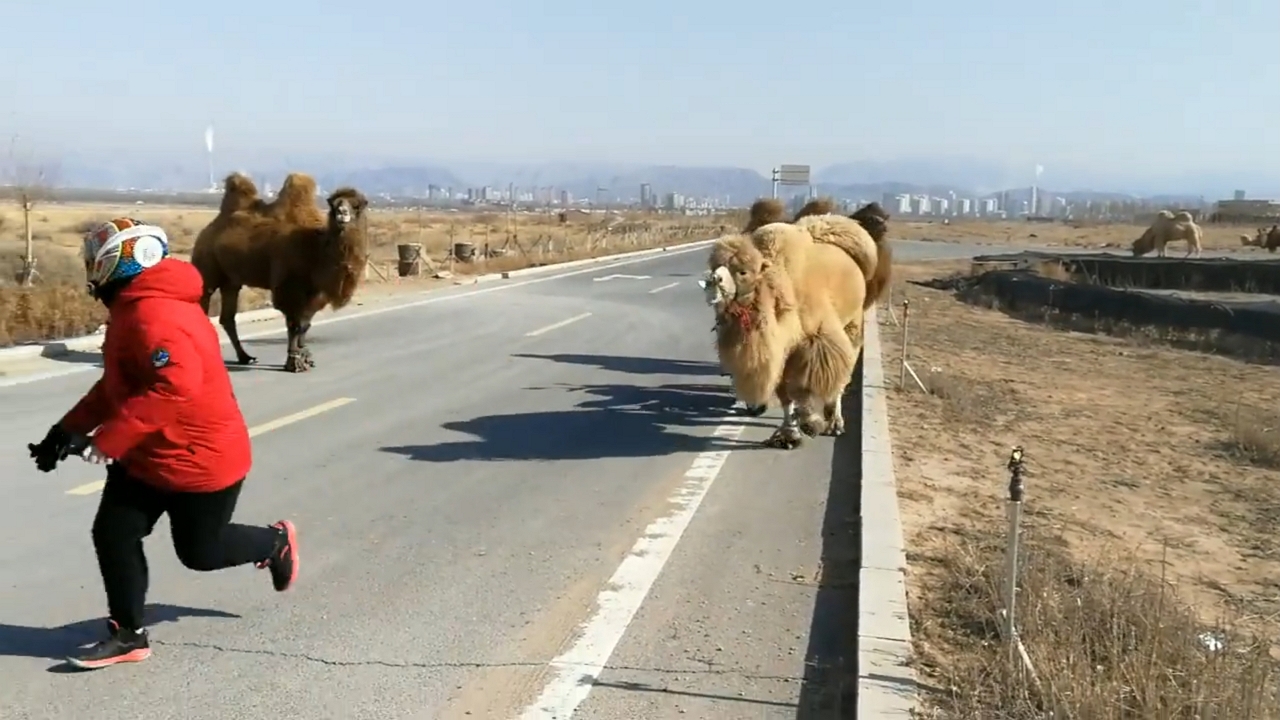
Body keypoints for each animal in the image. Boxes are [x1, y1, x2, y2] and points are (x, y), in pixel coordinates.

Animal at [190, 172, 368, 373]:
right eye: (335, 204)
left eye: (357, 205)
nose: (342, 213)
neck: (315, 245)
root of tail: (205, 232)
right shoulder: (288, 287)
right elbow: (294, 324)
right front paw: (294, 362)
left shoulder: (316, 291)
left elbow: (306, 324)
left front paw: (306, 357)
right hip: (206, 271)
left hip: (231, 281)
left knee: (227, 317)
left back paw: (246, 357)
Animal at [702, 208, 892, 449]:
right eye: (715, 265)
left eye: (743, 272)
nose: (713, 280)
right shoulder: (782, 348)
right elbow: (785, 391)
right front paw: (789, 434)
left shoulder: (817, 340)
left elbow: (805, 384)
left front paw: (811, 422)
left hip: (854, 322)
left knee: (843, 372)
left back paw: (835, 422)